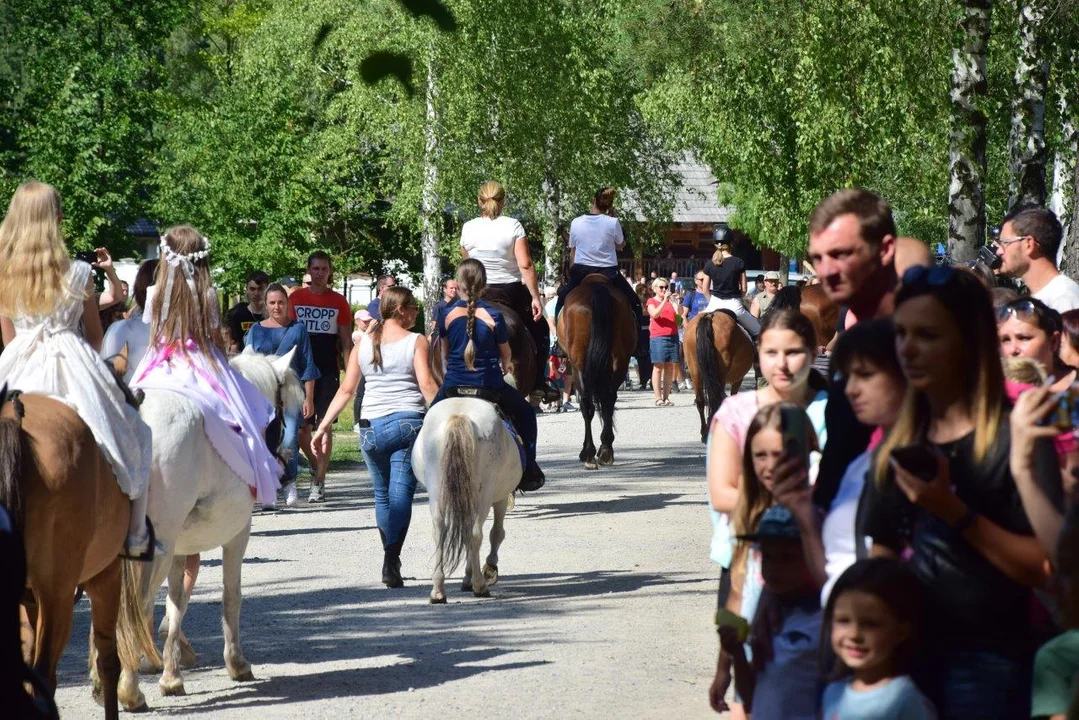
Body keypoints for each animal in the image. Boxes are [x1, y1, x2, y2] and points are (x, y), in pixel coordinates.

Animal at [0, 388, 157, 720]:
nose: (137, 394)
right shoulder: (105, 577)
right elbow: (108, 660)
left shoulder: (30, 602)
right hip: (59, 594)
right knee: (45, 676)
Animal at [112, 347, 304, 708]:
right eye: (283, 408)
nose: (286, 463)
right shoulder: (238, 535)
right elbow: (232, 595)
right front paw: (236, 663)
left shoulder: (179, 550)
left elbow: (176, 603)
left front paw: (171, 675)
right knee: (136, 606)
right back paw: (129, 690)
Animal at [410, 397, 520, 604]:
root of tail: (459, 415)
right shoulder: (501, 497)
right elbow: (497, 533)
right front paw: (487, 569)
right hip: (484, 495)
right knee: (475, 534)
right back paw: (479, 586)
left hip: (436, 491)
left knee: (440, 532)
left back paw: (438, 592)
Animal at [561, 273, 634, 470]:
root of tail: (596, 287)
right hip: (619, 362)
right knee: (608, 399)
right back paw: (606, 450)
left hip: (578, 364)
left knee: (588, 405)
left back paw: (589, 453)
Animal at [686, 310, 755, 442]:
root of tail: (709, 316)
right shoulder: (738, 378)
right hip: (720, 372)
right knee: (716, 399)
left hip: (694, 370)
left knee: (701, 401)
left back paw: (705, 432)